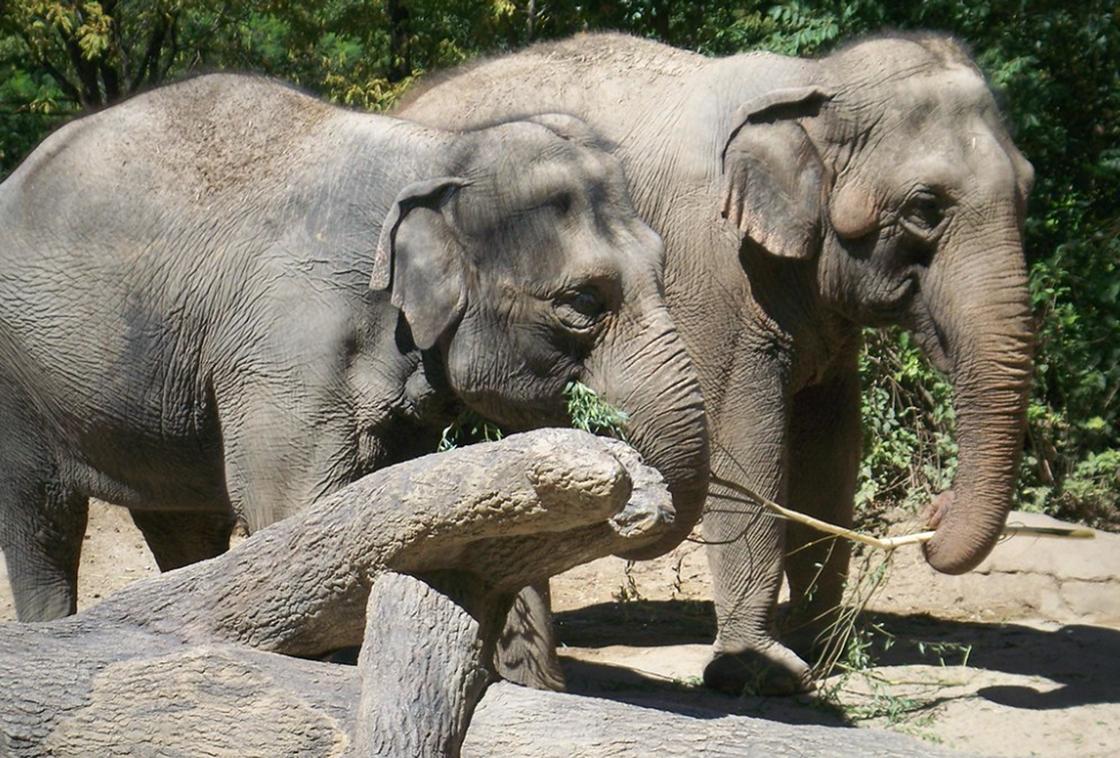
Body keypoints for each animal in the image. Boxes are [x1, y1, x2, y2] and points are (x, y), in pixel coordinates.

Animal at [0, 72, 707, 644]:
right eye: (583, 301)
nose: (635, 491)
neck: (442, 151)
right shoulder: (289, 351)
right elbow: (294, 512)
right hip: (18, 387)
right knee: (41, 525)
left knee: (184, 523)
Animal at [398, 32, 1034, 694]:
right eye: (924, 207)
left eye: (1028, 191)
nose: (935, 517)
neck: (817, 83)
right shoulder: (716, 269)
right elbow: (746, 439)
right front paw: (760, 673)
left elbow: (830, 448)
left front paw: (822, 654)